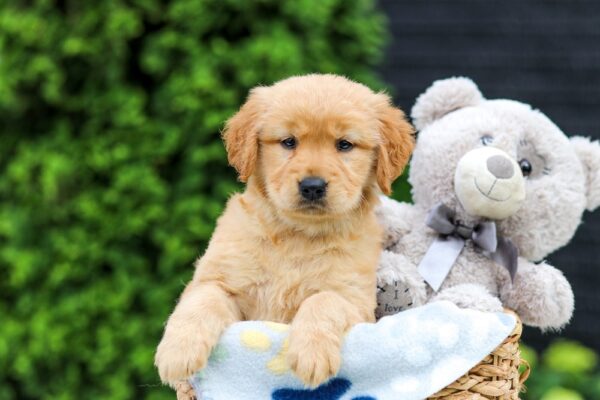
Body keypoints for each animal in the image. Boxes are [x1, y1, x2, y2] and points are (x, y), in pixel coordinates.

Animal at [155, 74, 414, 388]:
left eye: (344, 145)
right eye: (289, 142)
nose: (313, 186)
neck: (298, 235)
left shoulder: (356, 303)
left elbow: (323, 299)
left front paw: (311, 354)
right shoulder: (224, 284)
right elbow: (202, 300)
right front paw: (177, 352)